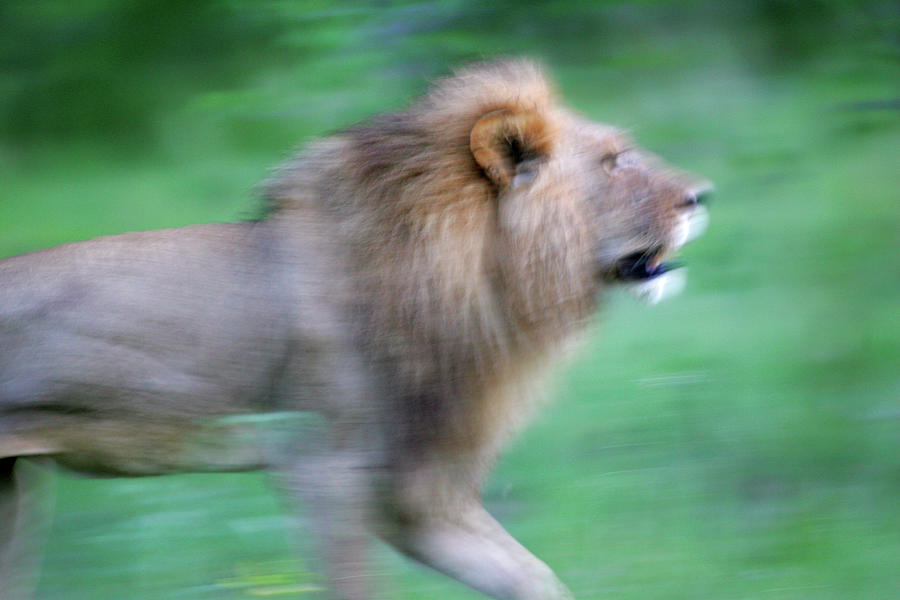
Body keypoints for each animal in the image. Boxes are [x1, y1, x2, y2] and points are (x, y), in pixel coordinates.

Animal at [1, 62, 712, 600]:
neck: (487, 286)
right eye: (615, 161)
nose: (703, 196)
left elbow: (532, 578)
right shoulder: (324, 465)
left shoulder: (418, 490)